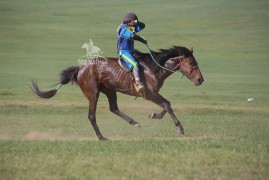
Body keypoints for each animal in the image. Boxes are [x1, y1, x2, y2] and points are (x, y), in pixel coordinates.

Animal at [30, 45, 203, 140]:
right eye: (192, 62)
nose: (200, 80)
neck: (154, 68)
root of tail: (81, 68)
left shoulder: (152, 94)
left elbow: (167, 104)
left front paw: (154, 115)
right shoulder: (148, 94)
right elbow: (167, 104)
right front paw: (179, 127)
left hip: (110, 90)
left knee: (113, 108)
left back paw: (134, 123)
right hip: (93, 93)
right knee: (91, 116)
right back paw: (101, 137)